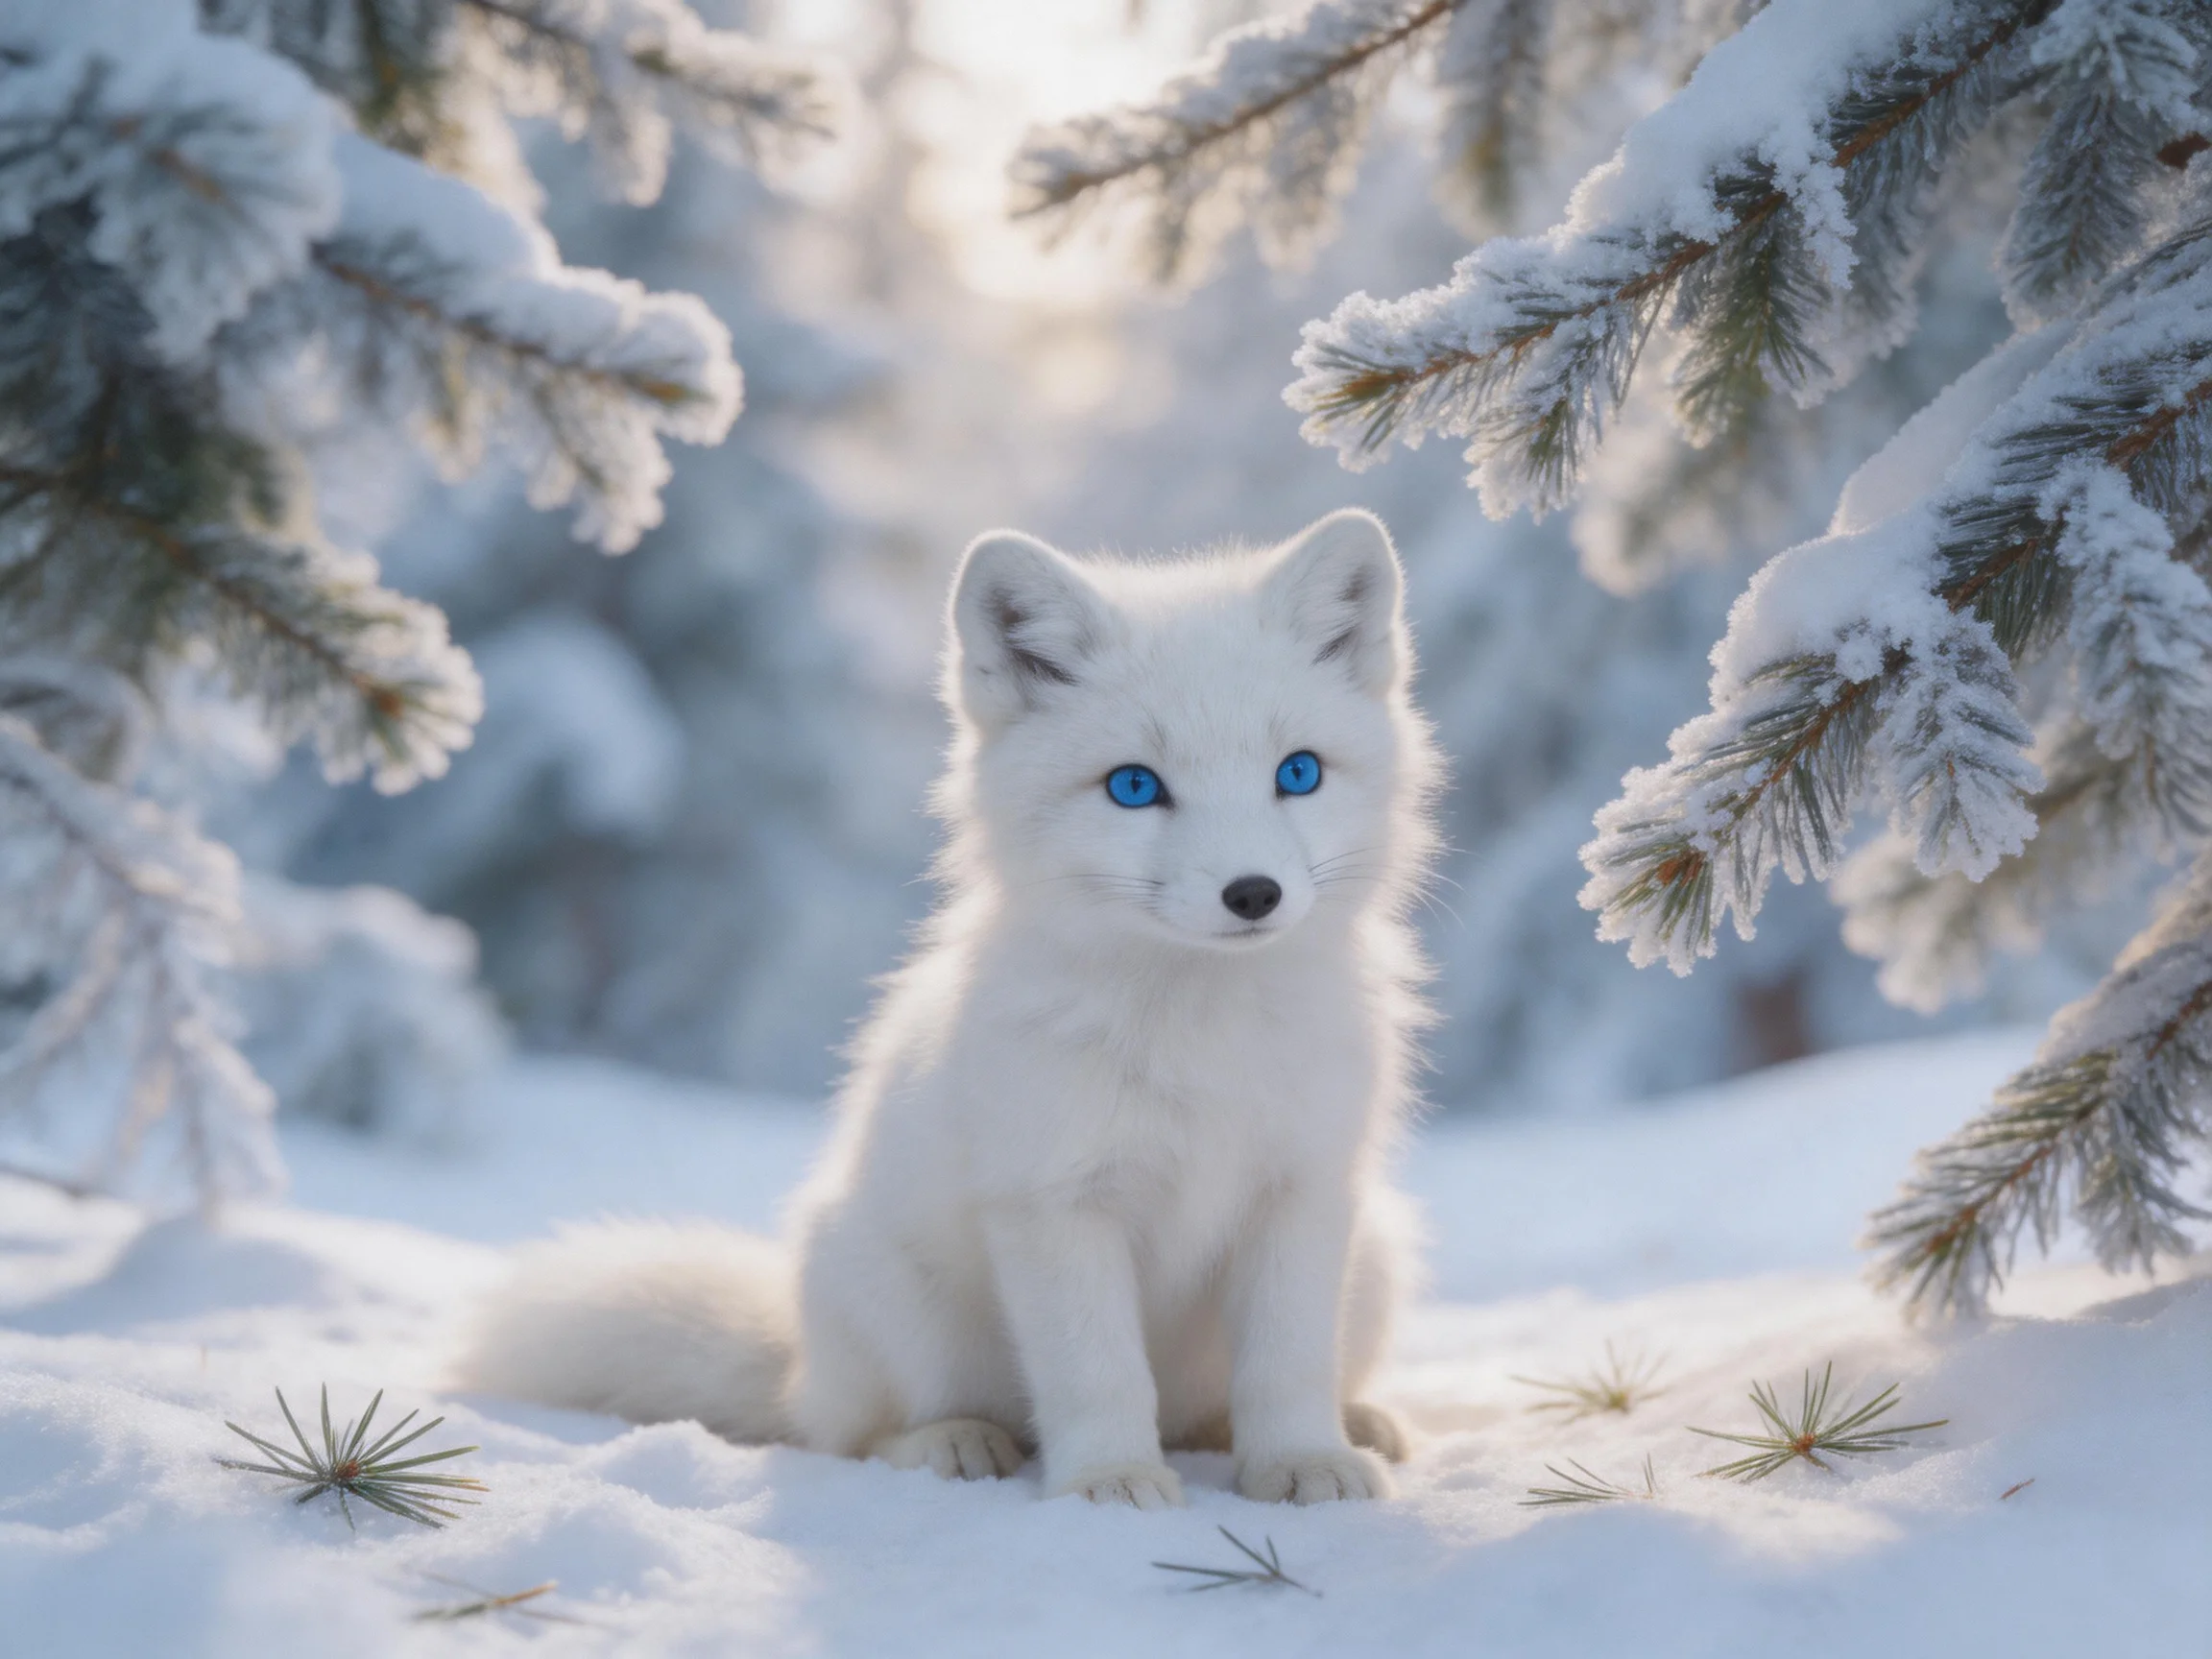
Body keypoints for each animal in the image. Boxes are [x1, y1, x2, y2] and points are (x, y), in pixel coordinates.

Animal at [455, 508, 1443, 1508]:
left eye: (1299, 773)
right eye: (1134, 786)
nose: (1253, 894)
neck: (1201, 1038)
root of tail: (796, 1360)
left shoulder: (1301, 1191)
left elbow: (1286, 1365)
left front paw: (1301, 1464)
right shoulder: (1054, 1204)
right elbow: (1098, 1373)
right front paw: (1112, 1482)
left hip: (1377, 1253)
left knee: (1214, 1408)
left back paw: (1352, 1423)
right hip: (902, 1312)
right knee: (854, 1434)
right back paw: (953, 1445)